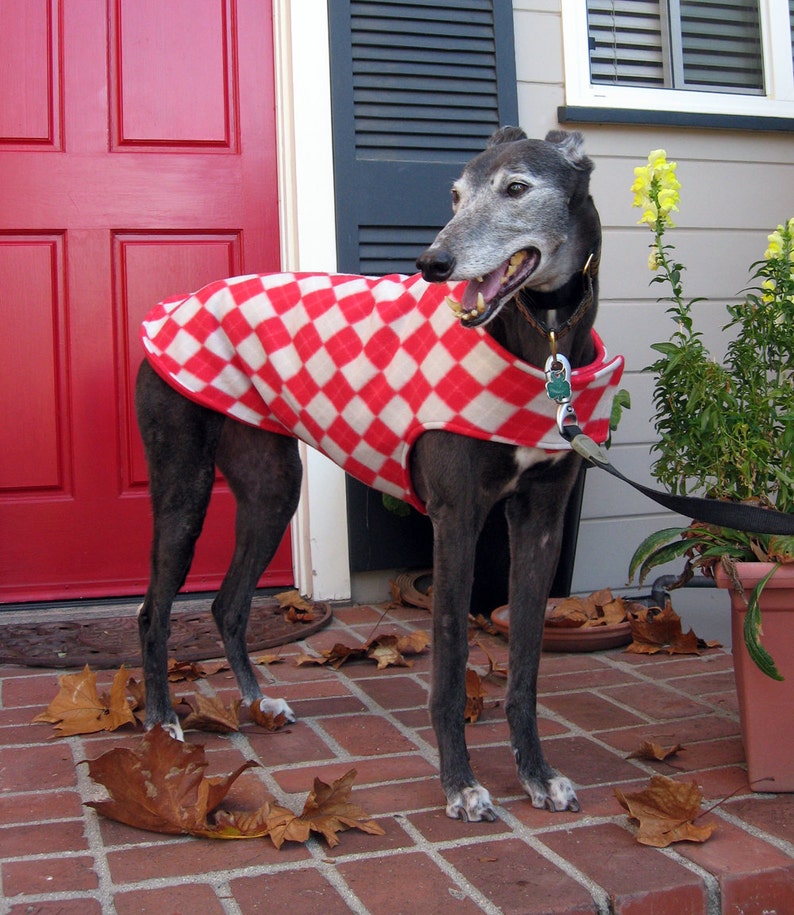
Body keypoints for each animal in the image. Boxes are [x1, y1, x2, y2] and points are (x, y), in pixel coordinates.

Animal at [135, 129, 620, 824]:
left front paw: (537, 773)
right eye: (454, 194)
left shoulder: (542, 520)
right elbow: (450, 662)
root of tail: (172, 304)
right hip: (184, 486)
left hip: (271, 488)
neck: (542, 345)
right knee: (153, 609)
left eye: (517, 188)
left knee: (228, 604)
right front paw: (460, 784)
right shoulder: (455, 520)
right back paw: (162, 723)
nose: (433, 263)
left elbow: (526, 668)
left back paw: (257, 702)